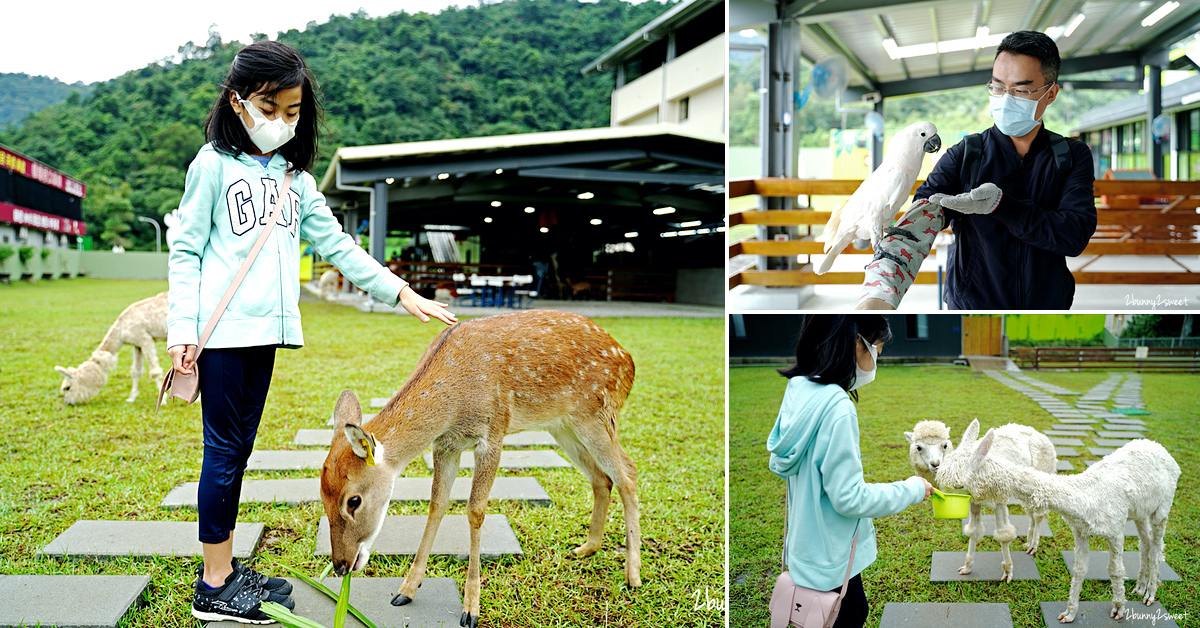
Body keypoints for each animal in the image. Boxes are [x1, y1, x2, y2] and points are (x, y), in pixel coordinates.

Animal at [316, 309, 638, 628]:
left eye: (353, 501)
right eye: (322, 497)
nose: (340, 565)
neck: (452, 407)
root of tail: (628, 361)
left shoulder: (493, 434)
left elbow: (475, 510)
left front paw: (470, 609)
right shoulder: (446, 445)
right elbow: (437, 504)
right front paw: (406, 590)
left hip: (596, 413)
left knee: (627, 472)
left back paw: (632, 574)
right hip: (563, 425)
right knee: (601, 478)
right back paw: (587, 547)